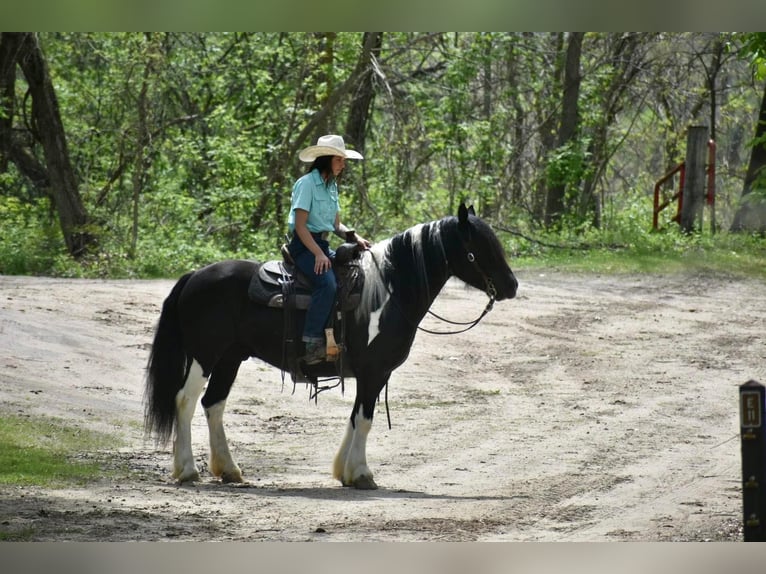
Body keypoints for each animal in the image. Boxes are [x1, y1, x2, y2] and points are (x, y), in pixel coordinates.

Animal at [142, 202, 520, 490]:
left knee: (214, 404)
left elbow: (355, 418)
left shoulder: (372, 374)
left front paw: (345, 472)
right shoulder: (373, 371)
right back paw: (188, 470)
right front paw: (363, 474)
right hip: (205, 355)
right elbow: (365, 419)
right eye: (478, 250)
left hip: (230, 358)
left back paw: (229, 470)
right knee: (185, 400)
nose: (512, 286)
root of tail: (194, 276)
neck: (388, 293)